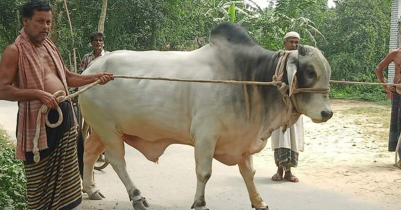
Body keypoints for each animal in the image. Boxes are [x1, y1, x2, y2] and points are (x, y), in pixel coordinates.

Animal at [78, 22, 332, 209]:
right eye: (310, 72)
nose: (327, 113)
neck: (246, 78)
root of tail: (91, 69)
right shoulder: (205, 136)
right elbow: (204, 172)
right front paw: (199, 203)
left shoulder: (243, 139)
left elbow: (249, 173)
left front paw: (259, 202)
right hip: (108, 130)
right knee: (117, 161)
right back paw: (137, 197)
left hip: (103, 130)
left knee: (90, 152)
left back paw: (92, 189)